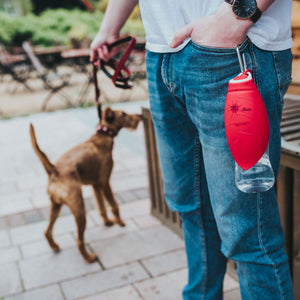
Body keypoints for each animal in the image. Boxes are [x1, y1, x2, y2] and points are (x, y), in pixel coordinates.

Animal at [30, 107, 141, 262]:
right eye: (123, 114)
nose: (139, 116)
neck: (102, 135)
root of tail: (54, 170)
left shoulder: (96, 185)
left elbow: (101, 207)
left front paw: (108, 222)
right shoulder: (105, 182)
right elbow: (114, 205)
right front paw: (120, 222)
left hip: (56, 206)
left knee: (47, 231)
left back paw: (55, 246)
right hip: (79, 208)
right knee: (79, 240)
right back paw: (89, 258)